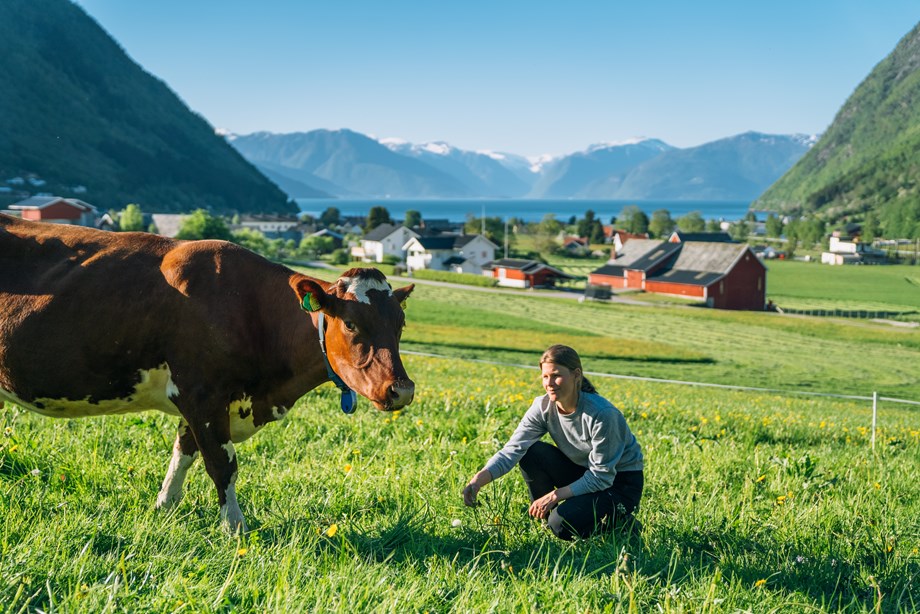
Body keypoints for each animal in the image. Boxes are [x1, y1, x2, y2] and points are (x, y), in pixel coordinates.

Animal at [0, 214, 414, 532]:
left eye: (400, 324)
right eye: (351, 323)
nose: (403, 390)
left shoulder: (202, 401)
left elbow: (184, 452)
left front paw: (164, 506)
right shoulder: (202, 394)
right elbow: (222, 463)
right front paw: (235, 529)